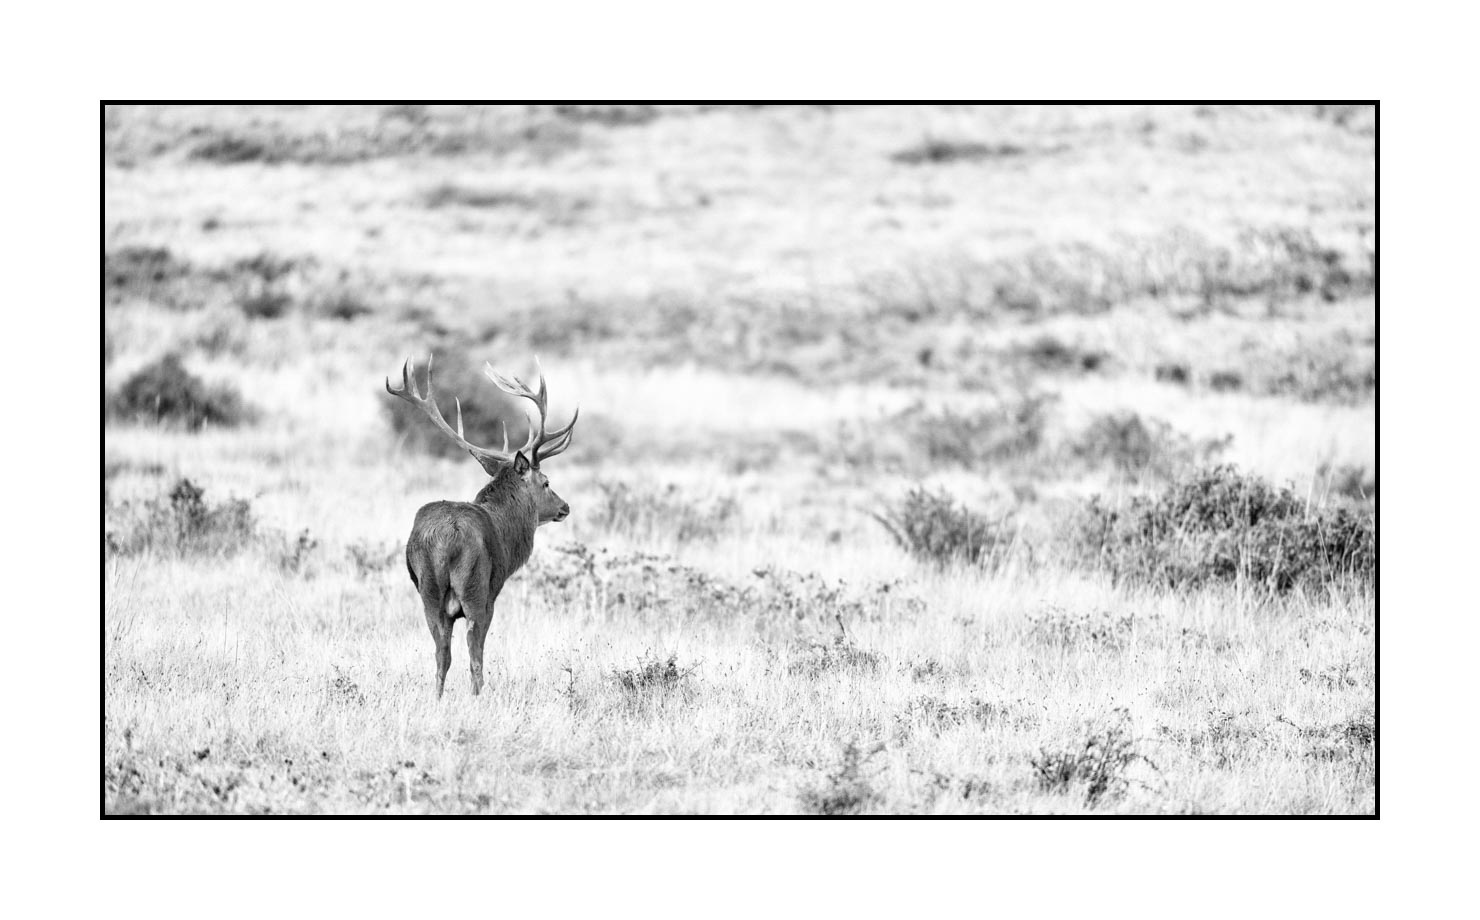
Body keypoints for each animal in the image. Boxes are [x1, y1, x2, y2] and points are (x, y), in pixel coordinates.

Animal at [385, 355, 578, 698]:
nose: (565, 507)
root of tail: (446, 537)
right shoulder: (493, 590)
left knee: (441, 653)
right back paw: (479, 696)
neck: (505, 532)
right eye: (546, 482)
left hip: (428, 590)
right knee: (472, 650)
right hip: (475, 586)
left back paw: (437, 699)